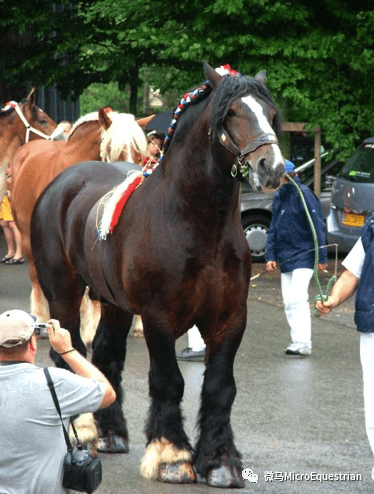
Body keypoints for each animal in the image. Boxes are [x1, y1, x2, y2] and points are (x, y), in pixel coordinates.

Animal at [31, 63, 284, 488]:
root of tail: (60, 183)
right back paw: (85, 429)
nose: (274, 167)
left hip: (113, 302)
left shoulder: (230, 318)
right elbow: (169, 381)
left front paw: (219, 461)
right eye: (232, 112)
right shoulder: (159, 318)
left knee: (106, 356)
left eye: (270, 112)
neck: (196, 222)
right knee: (72, 353)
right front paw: (172, 456)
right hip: (64, 293)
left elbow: (220, 387)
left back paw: (111, 433)